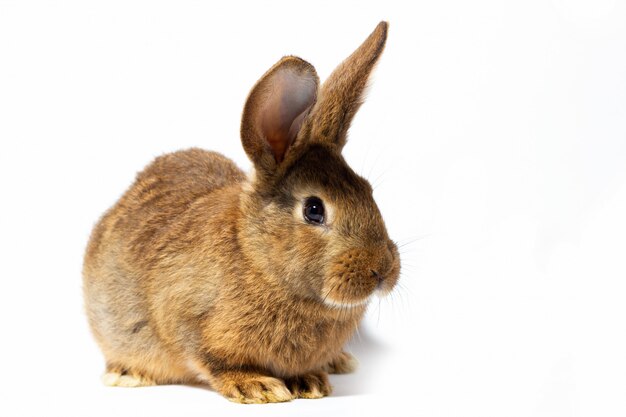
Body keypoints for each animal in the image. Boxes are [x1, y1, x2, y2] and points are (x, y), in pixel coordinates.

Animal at [81, 20, 400, 404]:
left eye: (368, 192)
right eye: (313, 210)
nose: (382, 270)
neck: (258, 260)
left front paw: (309, 381)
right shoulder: (185, 318)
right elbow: (209, 359)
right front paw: (257, 386)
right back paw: (127, 374)